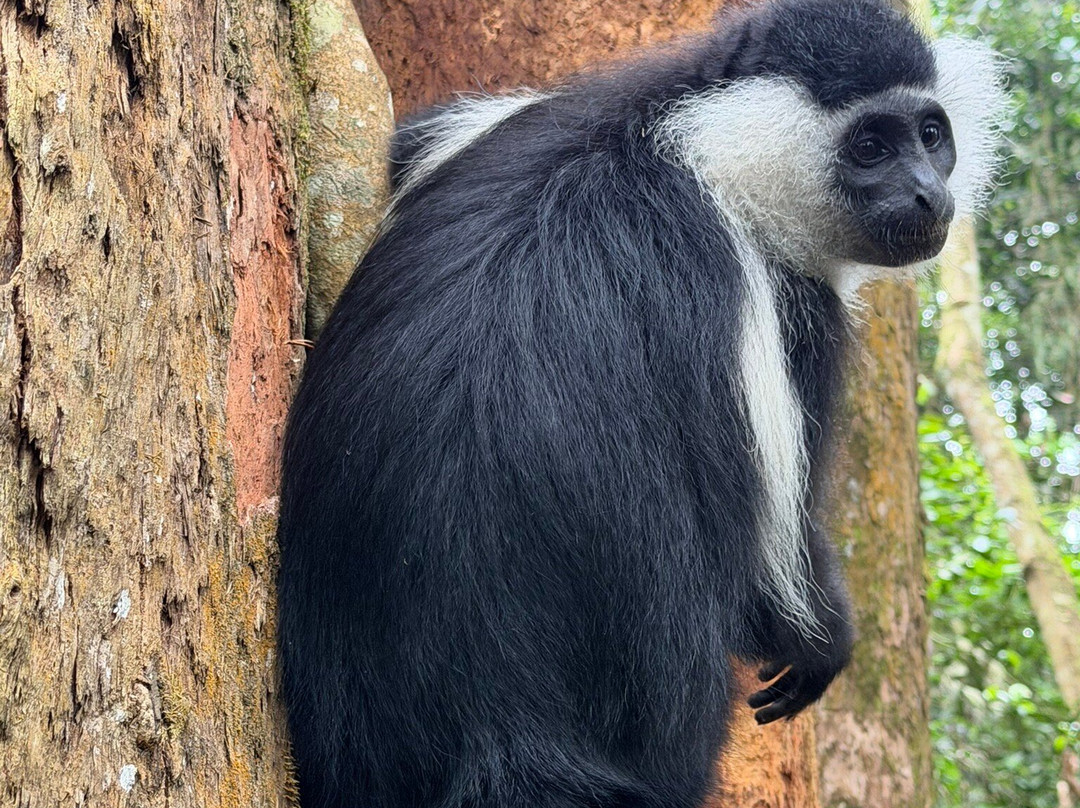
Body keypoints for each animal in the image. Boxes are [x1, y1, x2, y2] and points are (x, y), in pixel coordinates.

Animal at [276, 1, 1006, 806]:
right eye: (871, 146)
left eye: (931, 135)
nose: (928, 194)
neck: (700, 144)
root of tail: (493, 722)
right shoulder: (774, 304)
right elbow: (770, 568)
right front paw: (825, 635)